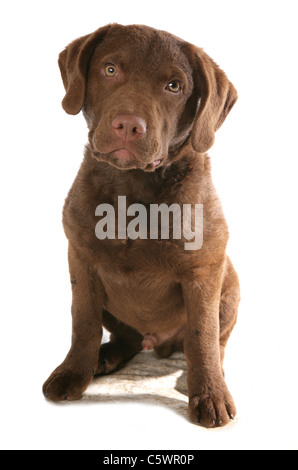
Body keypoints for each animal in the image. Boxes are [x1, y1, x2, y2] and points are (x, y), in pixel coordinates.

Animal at [43, 22, 241, 428]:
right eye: (110, 69)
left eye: (174, 86)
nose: (128, 126)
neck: (132, 189)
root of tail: (158, 342)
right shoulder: (81, 261)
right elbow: (82, 323)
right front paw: (73, 373)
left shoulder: (204, 271)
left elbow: (202, 335)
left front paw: (210, 395)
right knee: (129, 339)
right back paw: (105, 358)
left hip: (231, 287)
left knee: (216, 342)